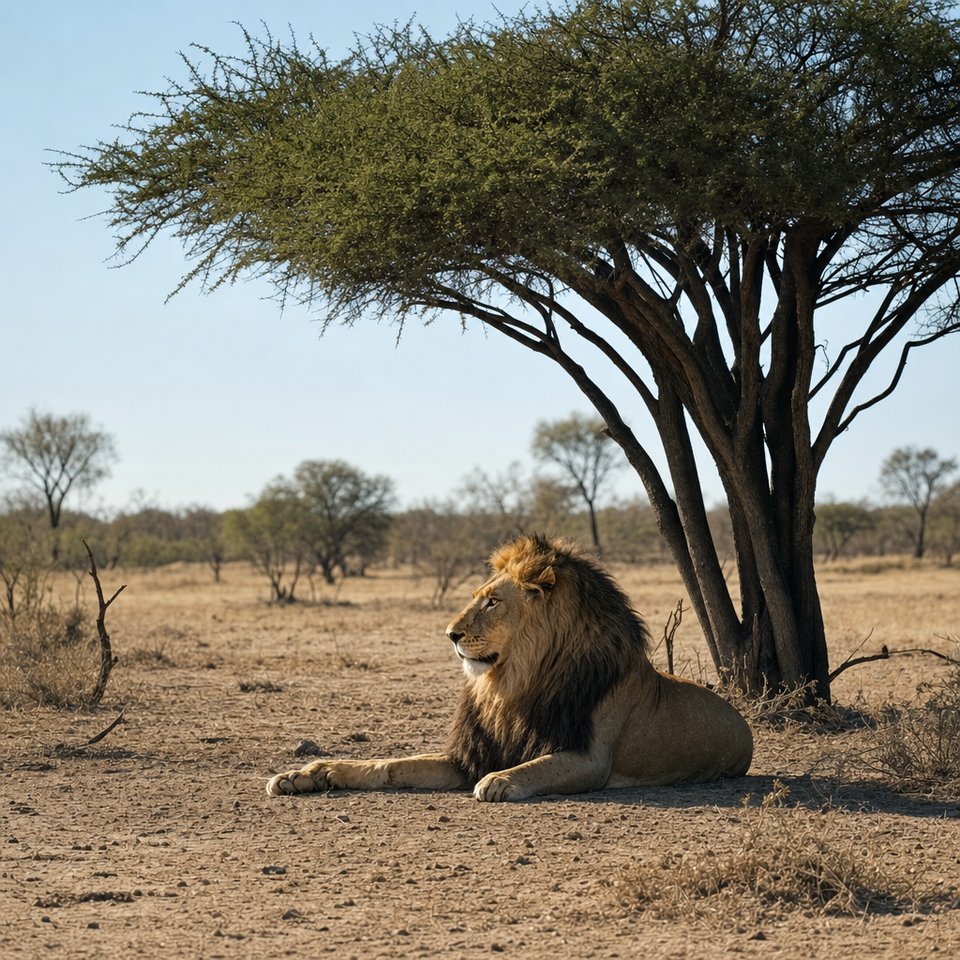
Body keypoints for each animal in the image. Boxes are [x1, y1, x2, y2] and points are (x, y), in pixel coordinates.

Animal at [266, 533, 753, 802]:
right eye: (477, 596)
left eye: (493, 602)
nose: (450, 633)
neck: (513, 684)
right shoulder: (469, 756)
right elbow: (391, 765)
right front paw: (311, 774)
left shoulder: (591, 758)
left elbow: (539, 766)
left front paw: (500, 780)